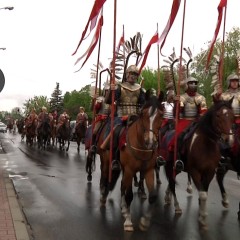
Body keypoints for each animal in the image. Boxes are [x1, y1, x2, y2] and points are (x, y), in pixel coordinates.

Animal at [163, 96, 234, 230]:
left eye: (232, 115)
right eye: (218, 115)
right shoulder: (195, 171)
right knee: (172, 182)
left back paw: (167, 197)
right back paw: (177, 206)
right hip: (171, 165)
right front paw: (203, 217)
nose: (228, 140)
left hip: (177, 168)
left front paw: (202, 214)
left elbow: (204, 192)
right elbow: (202, 194)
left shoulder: (209, 172)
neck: (206, 144)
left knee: (171, 181)